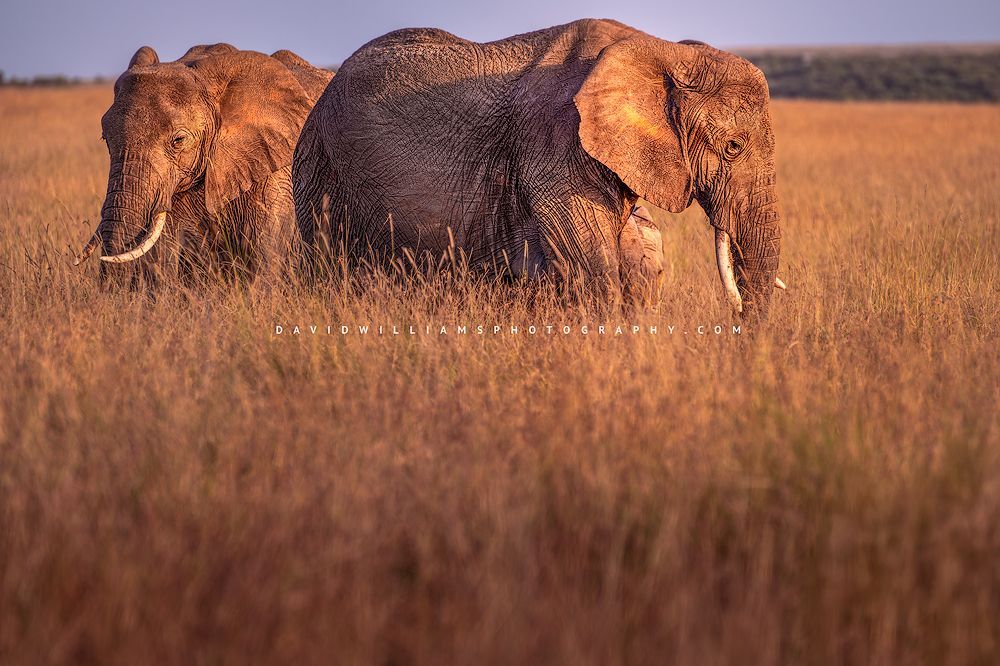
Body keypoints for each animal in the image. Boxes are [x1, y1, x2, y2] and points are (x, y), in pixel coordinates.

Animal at [293, 18, 783, 316]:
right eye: (733, 147)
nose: (742, 328)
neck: (664, 50)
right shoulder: (555, 145)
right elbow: (590, 271)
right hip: (323, 172)